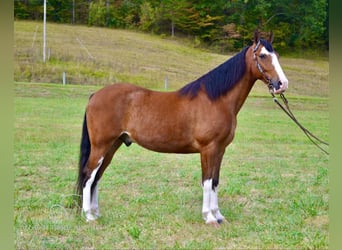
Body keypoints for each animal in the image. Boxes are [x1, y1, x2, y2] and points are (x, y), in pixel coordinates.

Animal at [77, 30, 288, 226]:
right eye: (263, 55)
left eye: (276, 54)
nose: (282, 84)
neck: (216, 100)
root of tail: (95, 95)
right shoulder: (208, 149)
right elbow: (207, 182)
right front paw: (209, 217)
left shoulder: (220, 150)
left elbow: (215, 182)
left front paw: (219, 215)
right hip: (101, 146)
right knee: (88, 176)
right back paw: (89, 216)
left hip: (112, 146)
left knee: (97, 177)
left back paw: (96, 213)